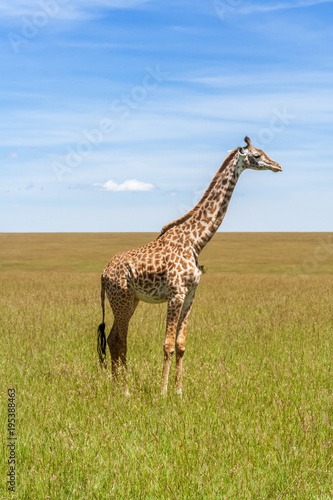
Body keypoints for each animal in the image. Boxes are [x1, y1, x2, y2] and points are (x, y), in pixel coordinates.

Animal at [97, 136, 282, 394]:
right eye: (256, 155)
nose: (278, 166)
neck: (196, 241)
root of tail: (103, 274)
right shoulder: (176, 293)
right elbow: (167, 344)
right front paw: (162, 392)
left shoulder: (191, 293)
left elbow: (181, 344)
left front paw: (179, 391)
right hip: (121, 299)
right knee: (121, 340)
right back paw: (124, 390)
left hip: (130, 300)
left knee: (113, 338)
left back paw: (116, 387)